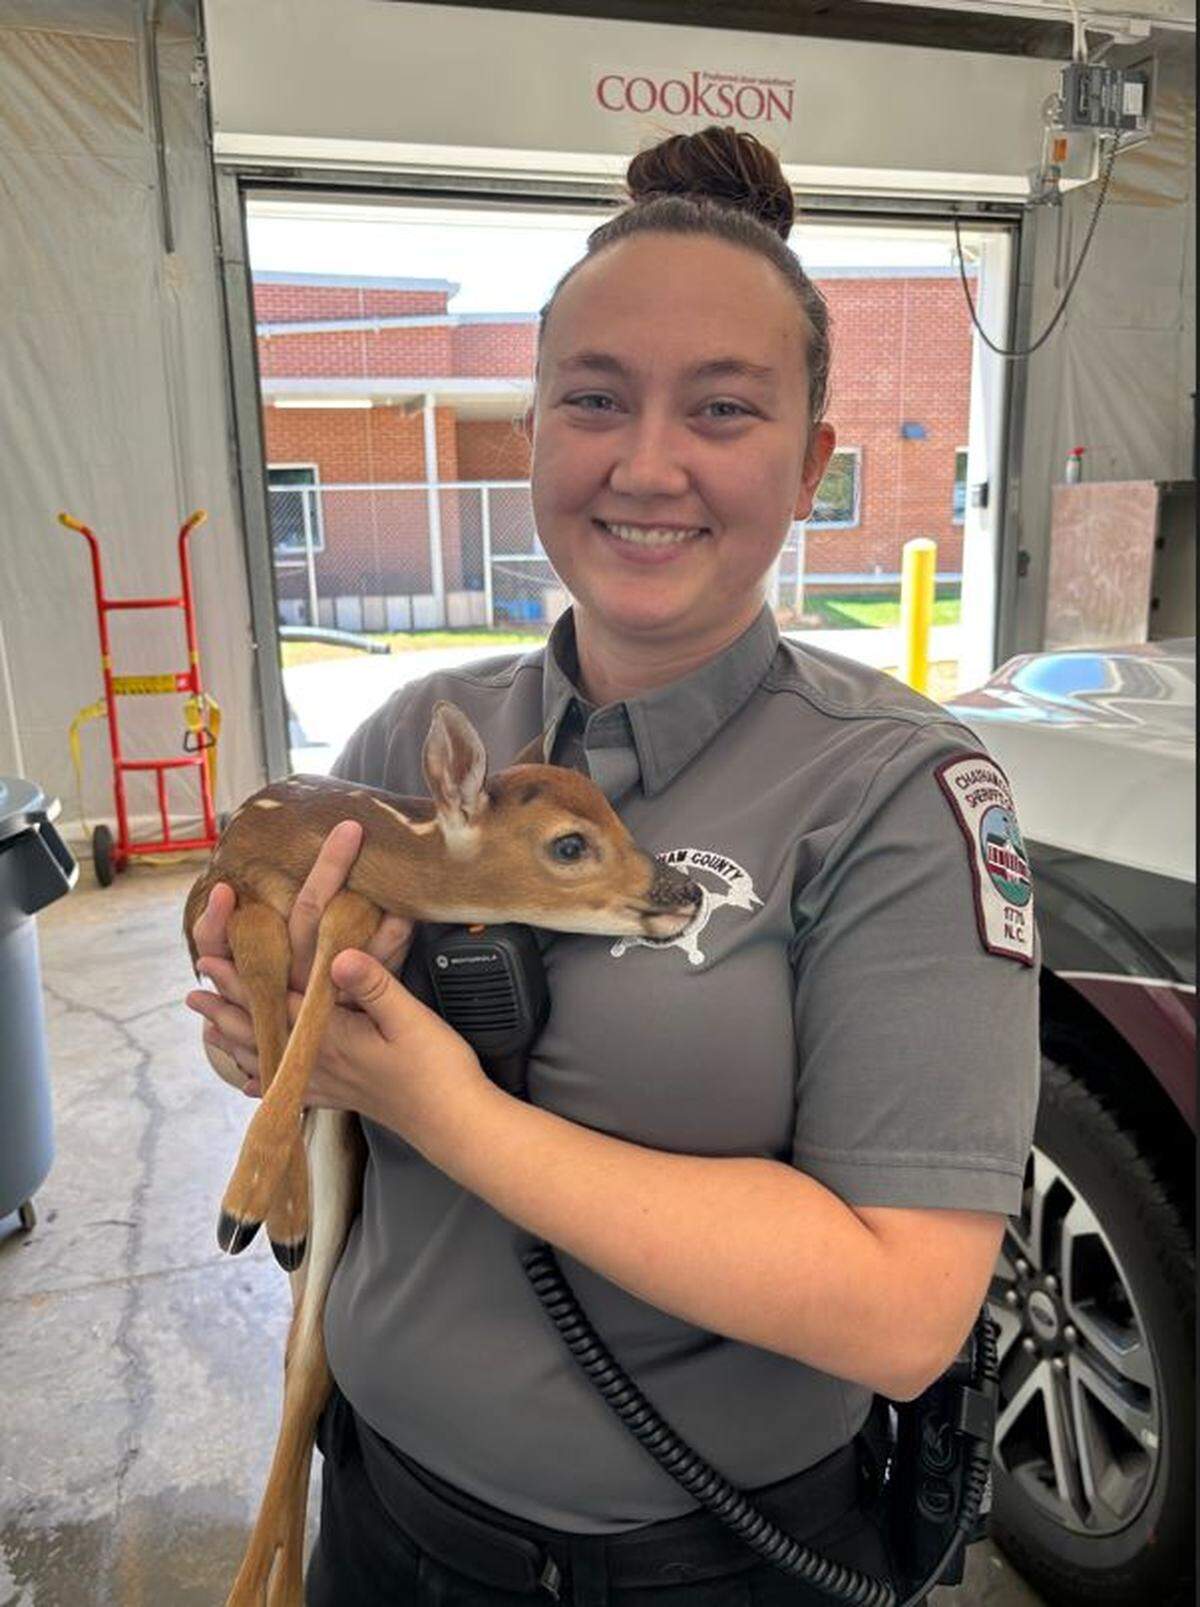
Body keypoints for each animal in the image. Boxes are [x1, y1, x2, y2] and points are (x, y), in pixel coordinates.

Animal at [183, 701, 701, 1607]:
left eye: (618, 815)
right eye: (571, 843)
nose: (687, 890)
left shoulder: (350, 906)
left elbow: (326, 950)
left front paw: (264, 1207)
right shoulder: (211, 895)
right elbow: (260, 951)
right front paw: (255, 1205)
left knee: (309, 1358)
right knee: (299, 1356)